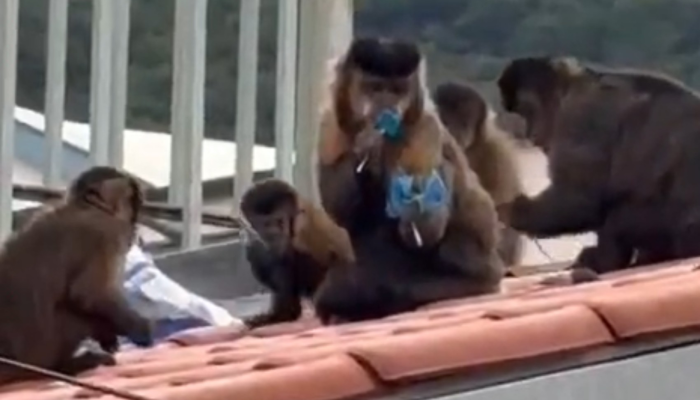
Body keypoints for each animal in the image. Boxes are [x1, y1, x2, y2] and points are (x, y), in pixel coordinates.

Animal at [0, 166, 154, 384]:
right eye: (133, 197)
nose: (136, 224)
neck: (87, 208)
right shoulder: (106, 234)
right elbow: (89, 294)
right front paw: (137, 328)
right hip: (42, 351)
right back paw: (69, 364)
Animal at [497, 56, 700, 276]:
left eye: (528, 111)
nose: (529, 132)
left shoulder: (580, 117)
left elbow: (579, 200)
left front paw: (512, 211)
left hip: (678, 227)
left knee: (617, 217)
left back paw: (605, 260)